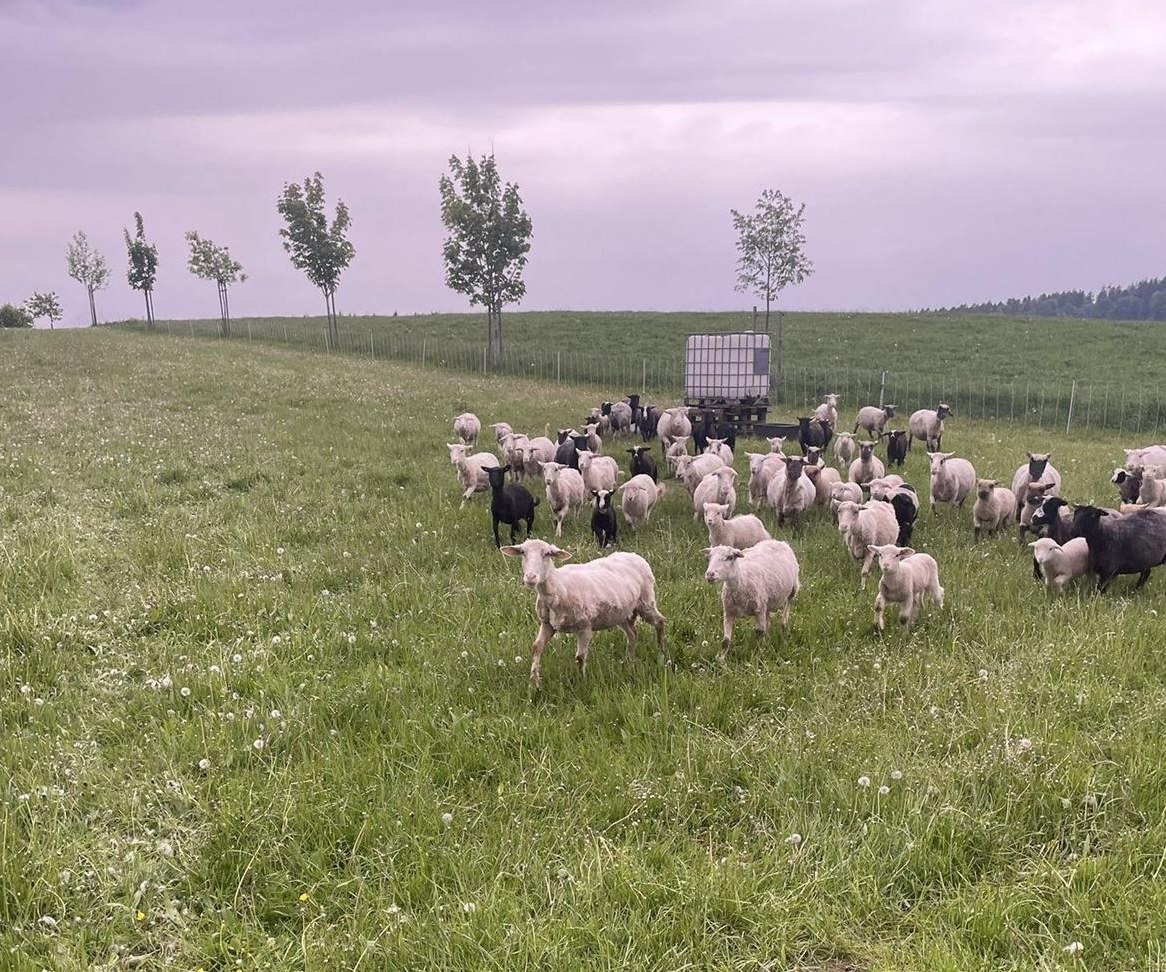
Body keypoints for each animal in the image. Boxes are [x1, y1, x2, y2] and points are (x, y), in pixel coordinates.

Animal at [500, 539, 666, 685]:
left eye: (547, 554)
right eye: (523, 552)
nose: (530, 577)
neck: (558, 586)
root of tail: (634, 555)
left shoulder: (585, 626)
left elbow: (580, 657)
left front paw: (581, 683)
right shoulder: (547, 624)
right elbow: (536, 647)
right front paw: (533, 682)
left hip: (646, 601)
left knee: (660, 622)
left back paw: (663, 654)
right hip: (621, 613)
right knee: (632, 634)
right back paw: (629, 660)